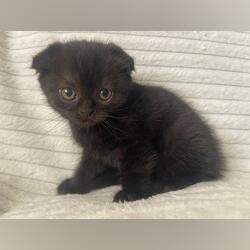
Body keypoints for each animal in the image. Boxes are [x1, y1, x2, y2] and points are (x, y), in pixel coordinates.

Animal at [31, 40, 223, 202]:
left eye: (104, 93)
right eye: (68, 92)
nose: (86, 111)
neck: (97, 128)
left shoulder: (136, 146)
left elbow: (136, 169)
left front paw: (131, 194)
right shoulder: (93, 151)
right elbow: (86, 169)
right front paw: (75, 186)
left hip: (179, 136)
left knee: (195, 173)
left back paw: (163, 184)